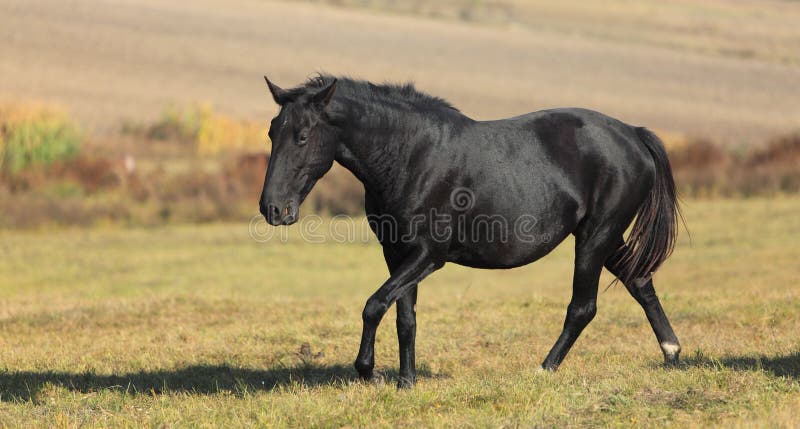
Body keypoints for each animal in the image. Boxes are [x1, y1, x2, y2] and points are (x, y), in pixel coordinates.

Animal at [260, 74, 680, 388]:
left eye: (302, 136)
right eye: (271, 132)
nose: (272, 209)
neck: (411, 155)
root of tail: (633, 133)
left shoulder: (429, 255)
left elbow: (374, 305)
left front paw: (368, 371)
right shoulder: (396, 252)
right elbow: (404, 317)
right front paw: (406, 382)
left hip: (596, 237)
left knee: (583, 307)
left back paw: (543, 369)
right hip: (605, 238)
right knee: (640, 282)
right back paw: (672, 353)